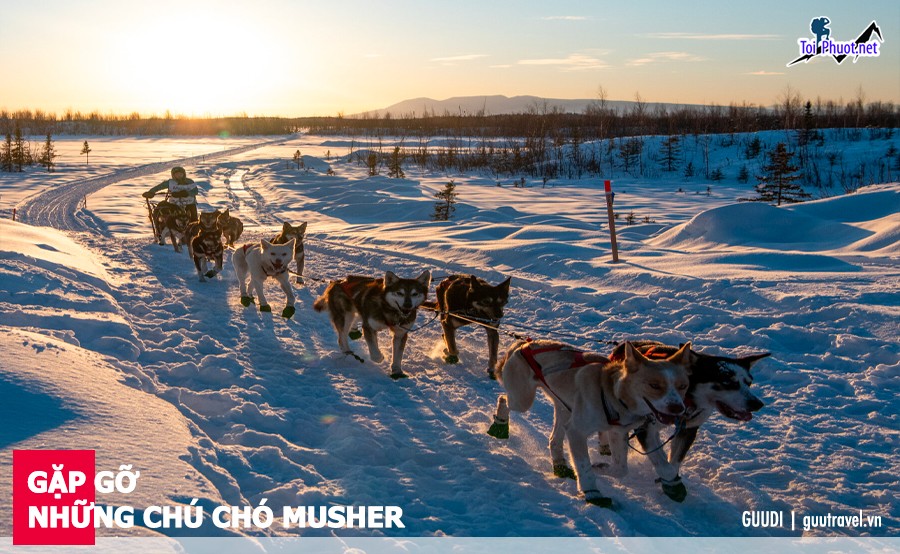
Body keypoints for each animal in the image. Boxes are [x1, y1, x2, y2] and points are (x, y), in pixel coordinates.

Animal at [492, 336, 688, 504]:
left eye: (683, 386)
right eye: (654, 385)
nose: (678, 408)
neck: (612, 394)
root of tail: (523, 344)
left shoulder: (617, 433)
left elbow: (620, 469)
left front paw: (600, 467)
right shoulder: (577, 432)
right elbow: (584, 467)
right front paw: (593, 493)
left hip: (564, 409)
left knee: (554, 439)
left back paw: (560, 465)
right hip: (522, 400)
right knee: (503, 398)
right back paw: (499, 424)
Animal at [600, 340, 768, 500]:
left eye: (749, 383)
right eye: (727, 382)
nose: (757, 404)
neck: (687, 401)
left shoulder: (688, 429)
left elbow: (673, 463)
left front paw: (671, 481)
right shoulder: (645, 428)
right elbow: (664, 466)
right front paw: (669, 479)